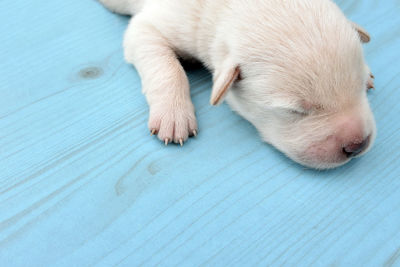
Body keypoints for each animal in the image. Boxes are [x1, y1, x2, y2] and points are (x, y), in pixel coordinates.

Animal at [98, 0, 376, 171]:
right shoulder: (148, 27)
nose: (358, 145)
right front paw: (173, 115)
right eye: (295, 110)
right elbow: (167, 68)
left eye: (360, 86)